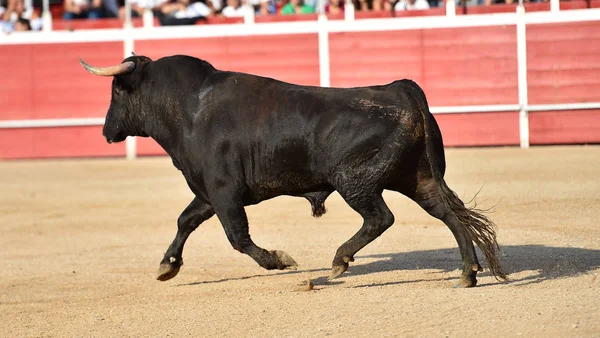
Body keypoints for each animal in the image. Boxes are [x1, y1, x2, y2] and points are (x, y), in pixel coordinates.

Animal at [81, 54, 506, 286]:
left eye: (116, 91)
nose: (106, 131)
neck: (189, 108)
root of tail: (402, 89)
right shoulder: (208, 191)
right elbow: (186, 220)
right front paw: (167, 267)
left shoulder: (223, 190)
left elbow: (237, 236)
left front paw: (279, 260)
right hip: (419, 179)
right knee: (450, 215)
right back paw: (468, 273)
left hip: (355, 182)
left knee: (380, 218)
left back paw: (338, 263)